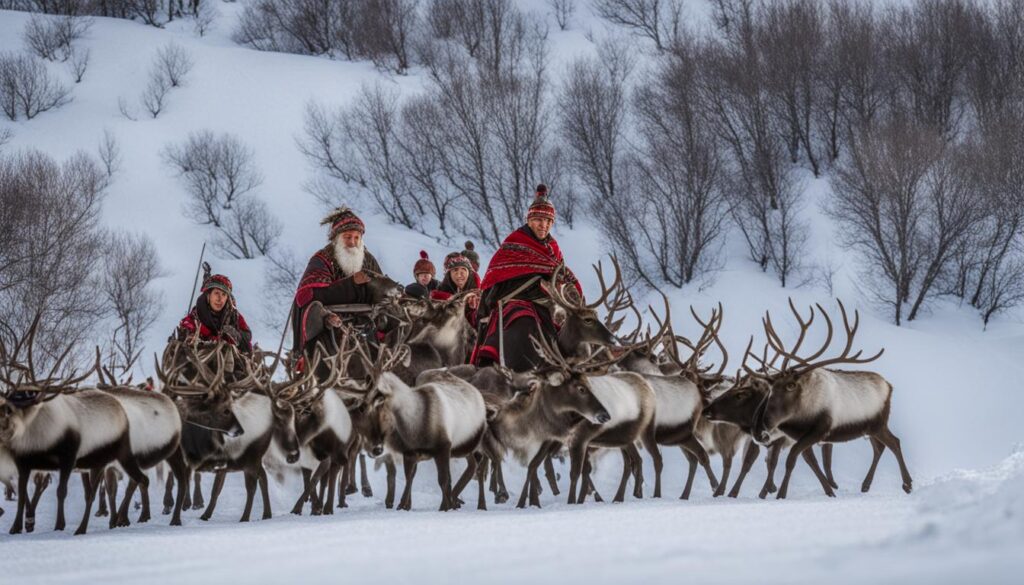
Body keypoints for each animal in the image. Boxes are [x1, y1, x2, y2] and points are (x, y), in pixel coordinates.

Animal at [750, 298, 912, 499]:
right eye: (770, 387)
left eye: (790, 386)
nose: (760, 428)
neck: (800, 414)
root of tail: (889, 386)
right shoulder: (803, 436)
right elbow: (809, 461)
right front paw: (830, 491)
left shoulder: (819, 430)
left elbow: (792, 458)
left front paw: (781, 494)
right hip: (870, 429)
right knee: (879, 448)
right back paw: (866, 485)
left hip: (878, 424)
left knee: (894, 443)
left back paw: (907, 484)